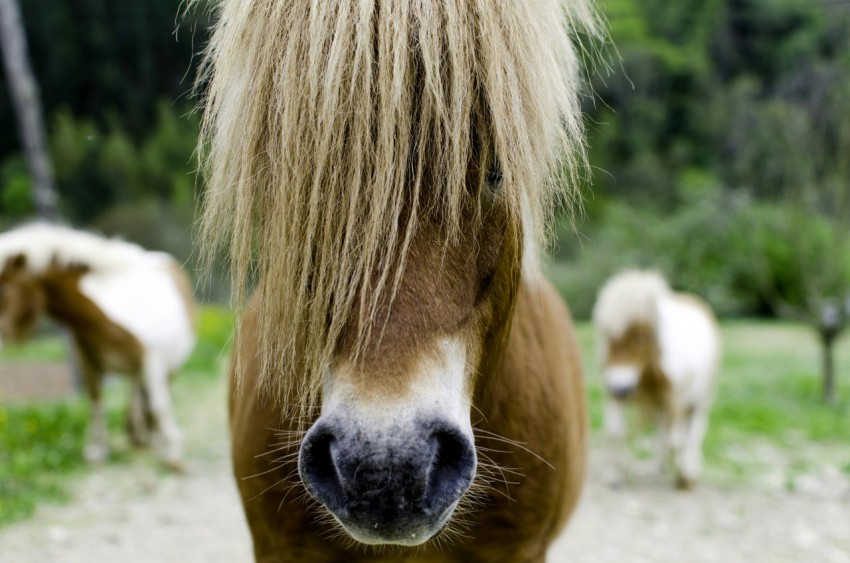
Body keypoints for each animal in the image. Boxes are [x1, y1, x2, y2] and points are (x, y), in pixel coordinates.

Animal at [0, 226, 195, 472]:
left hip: (168, 367)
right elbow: (96, 402)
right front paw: (97, 451)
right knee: (136, 390)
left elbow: (159, 406)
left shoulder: (153, 361)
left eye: (3, 289)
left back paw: (156, 438)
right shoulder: (88, 362)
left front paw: (173, 453)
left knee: (155, 397)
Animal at [592, 272, 720, 490]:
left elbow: (677, 441)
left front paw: (685, 477)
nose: (620, 388)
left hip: (698, 402)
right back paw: (656, 467)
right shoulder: (615, 396)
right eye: (607, 334)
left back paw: (690, 469)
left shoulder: (675, 401)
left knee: (693, 434)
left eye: (640, 337)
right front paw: (615, 476)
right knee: (662, 435)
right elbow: (615, 433)